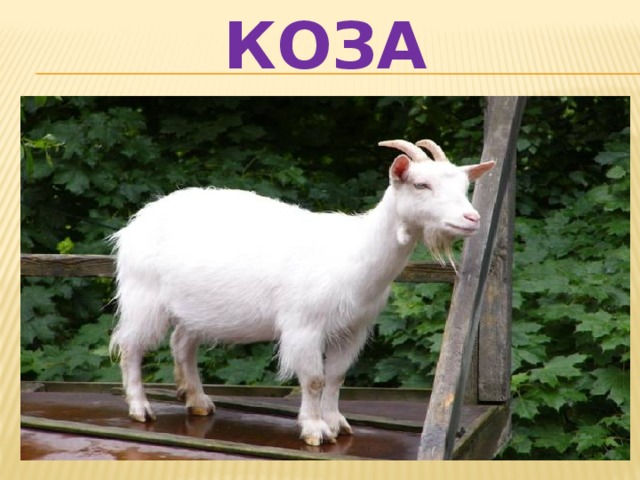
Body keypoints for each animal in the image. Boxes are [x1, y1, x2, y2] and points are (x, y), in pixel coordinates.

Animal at [109, 139, 494, 446]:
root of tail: (138, 221)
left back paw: (198, 401)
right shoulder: (304, 325)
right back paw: (140, 408)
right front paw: (314, 430)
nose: (472, 218)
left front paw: (336, 423)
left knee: (182, 344)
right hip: (143, 296)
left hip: (195, 307)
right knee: (130, 346)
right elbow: (313, 379)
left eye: (464, 186)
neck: (354, 253)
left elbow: (336, 377)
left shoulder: (354, 328)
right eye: (421, 184)